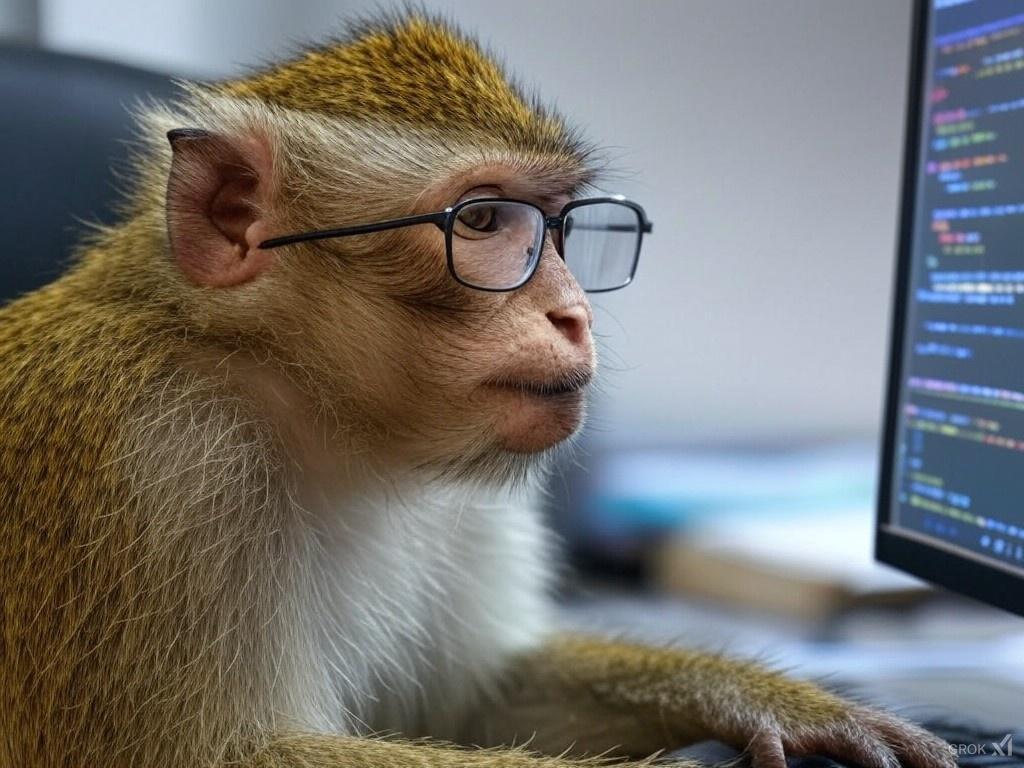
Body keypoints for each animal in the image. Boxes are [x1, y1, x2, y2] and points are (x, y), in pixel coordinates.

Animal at [0, 11, 956, 768]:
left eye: (569, 227)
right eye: (488, 221)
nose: (575, 314)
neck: (311, 404)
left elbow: (481, 697)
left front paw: (774, 703)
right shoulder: (154, 464)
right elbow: (217, 755)